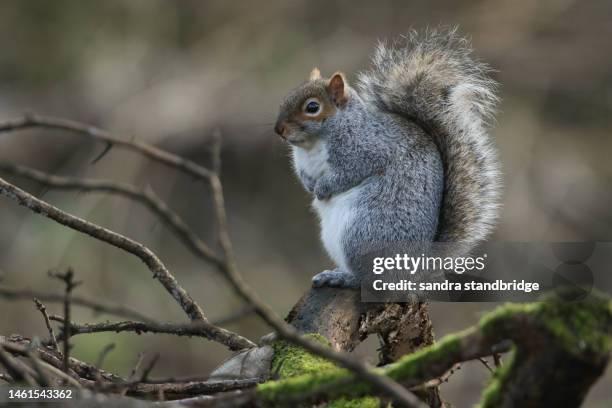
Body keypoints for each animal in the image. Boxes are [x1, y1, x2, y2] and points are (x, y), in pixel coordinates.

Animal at [274, 28, 500, 288]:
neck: (312, 145)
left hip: (362, 234)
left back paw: (343, 277)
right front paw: (311, 187)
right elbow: (305, 177)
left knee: (372, 279)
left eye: (312, 107)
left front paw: (323, 189)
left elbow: (347, 175)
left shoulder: (367, 151)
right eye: (287, 96)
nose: (278, 129)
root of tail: (420, 263)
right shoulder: (304, 164)